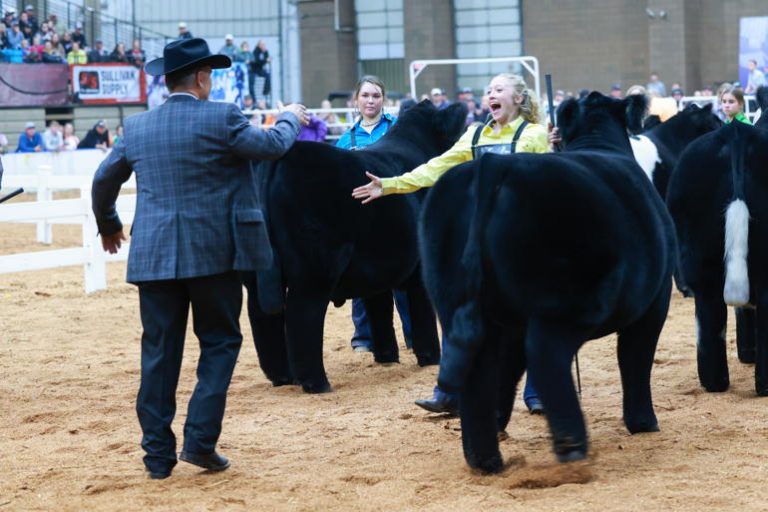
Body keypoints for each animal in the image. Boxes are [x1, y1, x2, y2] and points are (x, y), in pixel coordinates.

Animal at [250, 102, 468, 394]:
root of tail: (282, 156)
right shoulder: (419, 267)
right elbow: (421, 310)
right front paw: (431, 358)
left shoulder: (376, 268)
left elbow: (380, 308)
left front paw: (387, 357)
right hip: (314, 270)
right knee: (301, 315)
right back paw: (317, 383)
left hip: (254, 272)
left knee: (262, 318)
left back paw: (283, 378)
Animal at [416, 93, 676, 472]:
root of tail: (495, 165)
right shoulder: (655, 302)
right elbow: (636, 357)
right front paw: (643, 422)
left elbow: (509, 368)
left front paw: (500, 419)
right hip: (568, 303)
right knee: (546, 353)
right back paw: (571, 443)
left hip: (460, 303)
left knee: (480, 369)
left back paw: (485, 458)